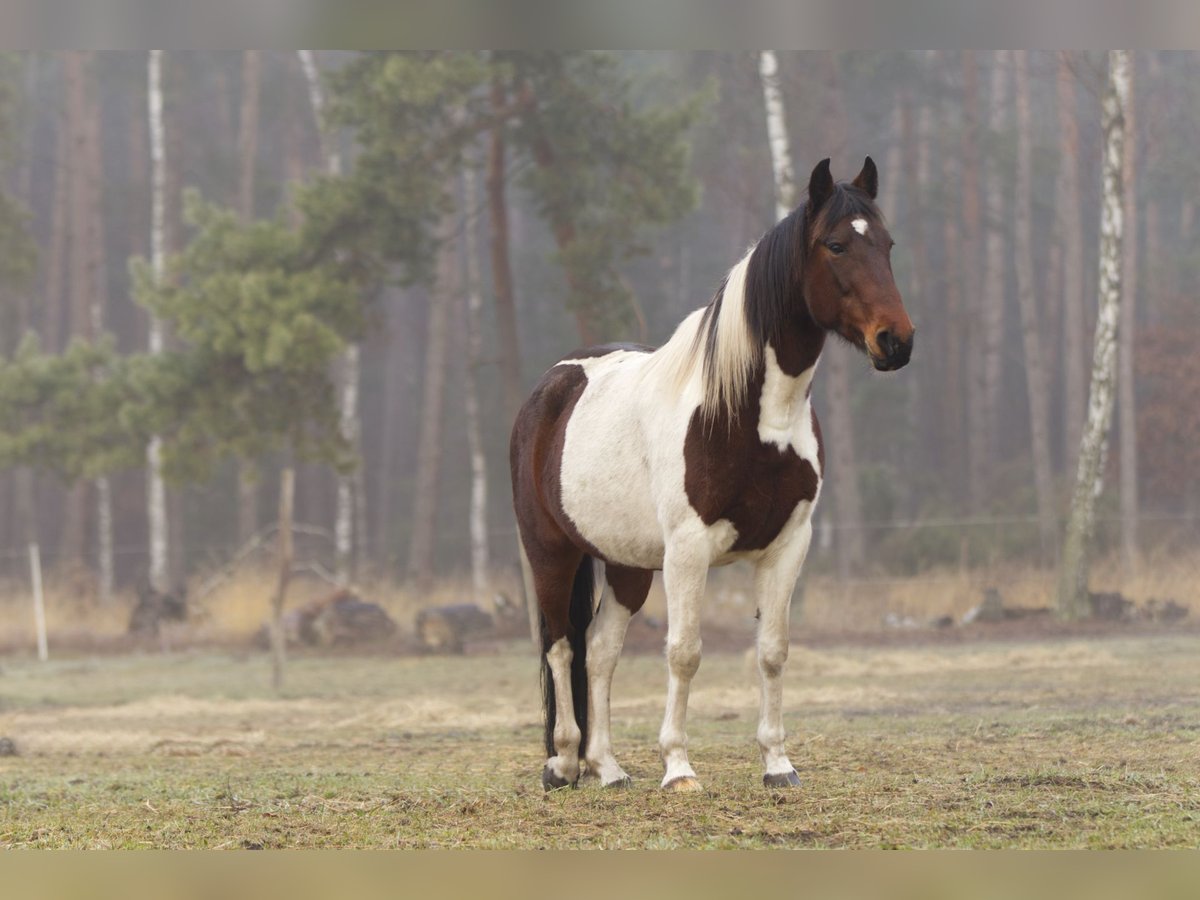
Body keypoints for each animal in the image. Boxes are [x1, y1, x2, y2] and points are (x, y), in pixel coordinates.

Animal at [511, 158, 912, 792]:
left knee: (599, 650)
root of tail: (551, 387)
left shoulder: (788, 546)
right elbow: (684, 651)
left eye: (888, 245)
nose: (895, 341)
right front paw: (678, 767)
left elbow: (772, 650)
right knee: (559, 646)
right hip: (551, 551)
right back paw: (565, 762)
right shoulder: (689, 550)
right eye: (836, 245)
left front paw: (777, 763)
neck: (752, 416)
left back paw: (608, 767)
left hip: (626, 565)